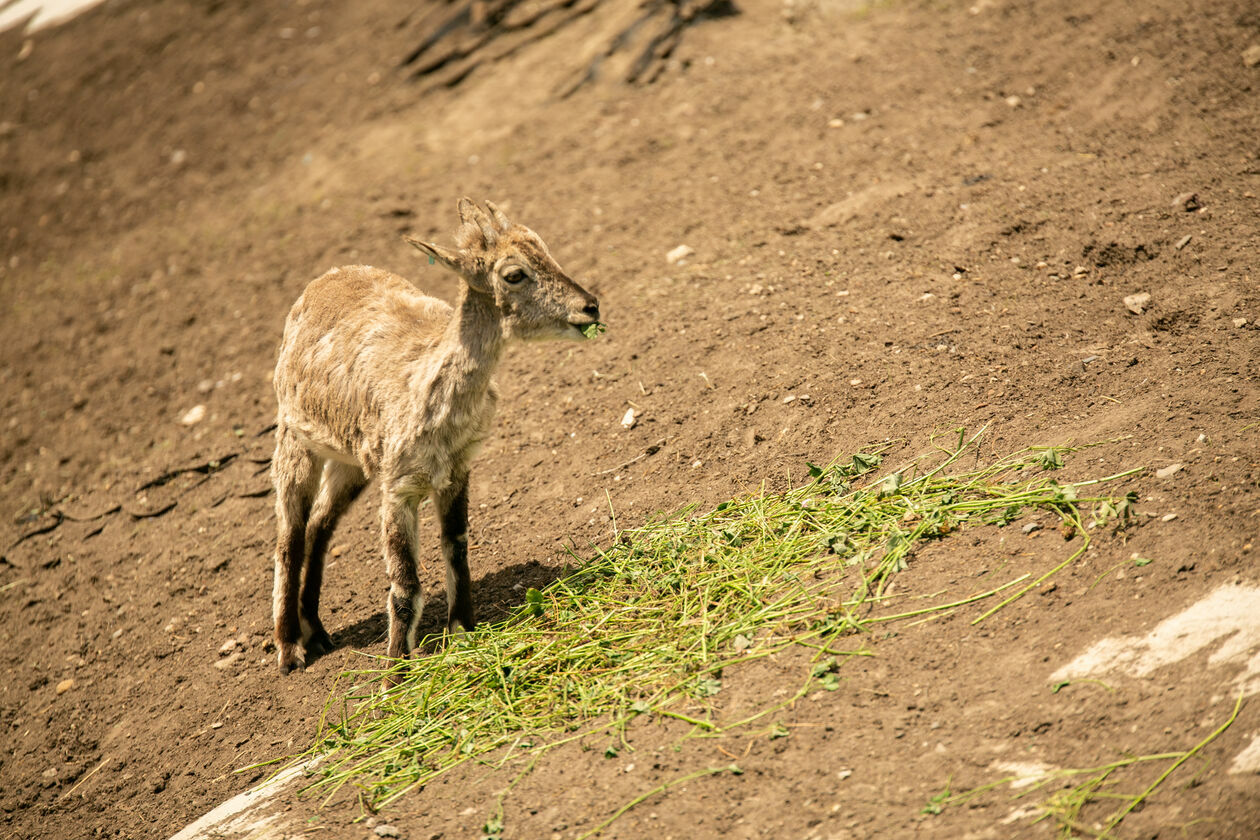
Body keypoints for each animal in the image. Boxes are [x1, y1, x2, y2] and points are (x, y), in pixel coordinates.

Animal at [269, 195, 599, 669]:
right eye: (514, 274)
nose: (591, 307)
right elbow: (405, 586)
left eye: (545, 248)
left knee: (320, 525)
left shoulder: (457, 470)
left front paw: (462, 629)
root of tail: (324, 279)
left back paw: (317, 632)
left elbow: (456, 545)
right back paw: (289, 647)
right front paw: (394, 672)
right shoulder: (398, 487)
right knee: (290, 536)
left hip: (353, 463)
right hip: (295, 439)